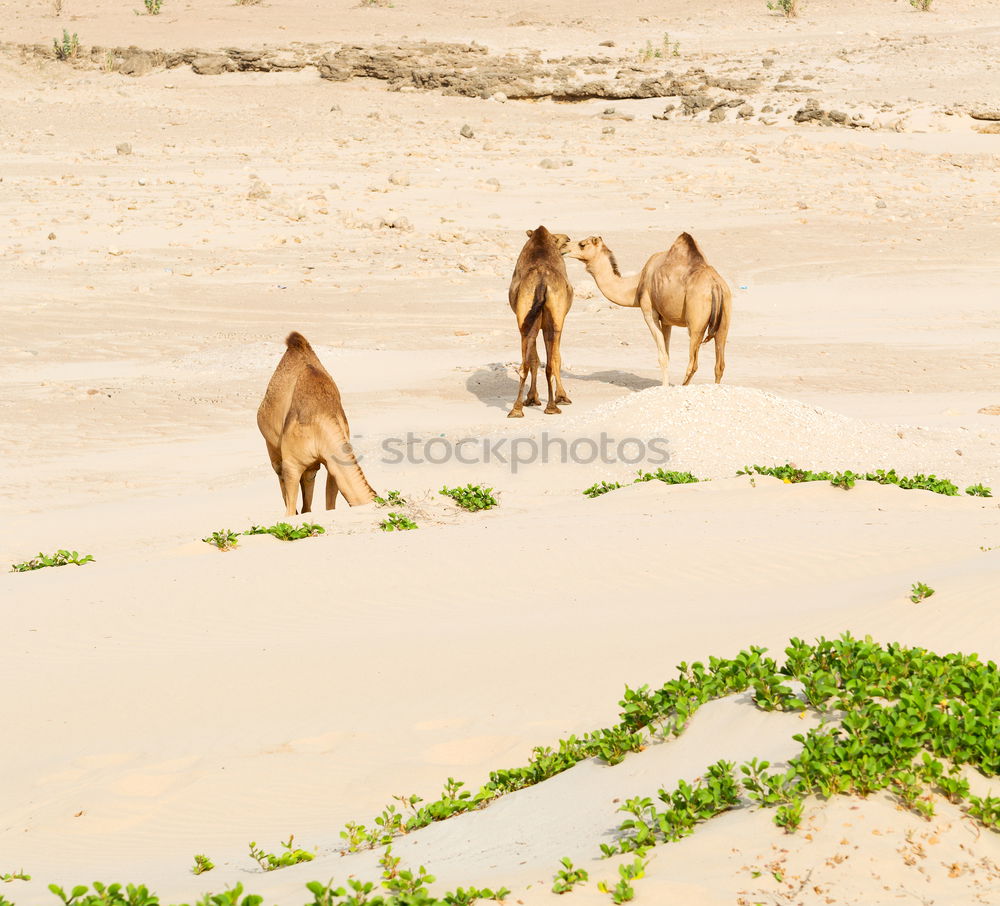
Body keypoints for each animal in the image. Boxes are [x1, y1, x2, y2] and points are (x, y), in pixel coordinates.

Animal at [258, 332, 378, 516]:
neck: (322, 416)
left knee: (308, 484)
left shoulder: (332, 461)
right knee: (280, 474)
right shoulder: (292, 464)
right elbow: (289, 512)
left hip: (311, 465)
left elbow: (330, 504)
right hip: (273, 448)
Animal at [512, 226, 576, 416]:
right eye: (557, 239)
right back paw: (552, 406)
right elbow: (557, 358)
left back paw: (516, 409)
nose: (568, 239)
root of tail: (541, 282)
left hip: (525, 320)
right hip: (554, 321)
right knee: (551, 360)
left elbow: (536, 359)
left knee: (526, 363)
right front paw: (562, 396)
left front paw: (533, 398)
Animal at [568, 231, 732, 384]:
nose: (565, 247)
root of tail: (715, 285)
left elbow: (662, 356)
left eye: (582, 244)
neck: (637, 284)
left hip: (696, 322)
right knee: (719, 364)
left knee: (693, 364)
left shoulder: (649, 312)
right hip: (724, 316)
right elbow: (667, 354)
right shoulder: (666, 321)